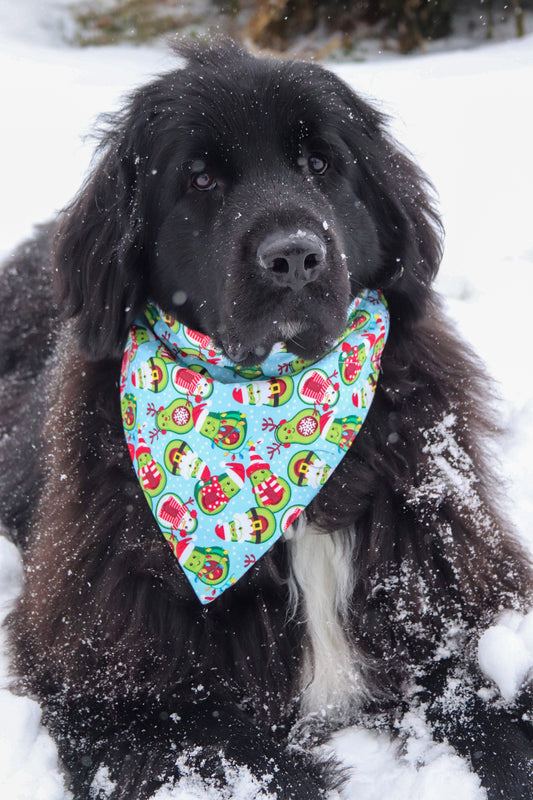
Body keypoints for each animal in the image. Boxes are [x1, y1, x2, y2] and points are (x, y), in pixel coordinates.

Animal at [1, 37, 532, 800]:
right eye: (198, 179)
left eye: (320, 163)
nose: (294, 256)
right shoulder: (123, 693)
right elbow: (257, 767)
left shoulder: (451, 611)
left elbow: (497, 724)